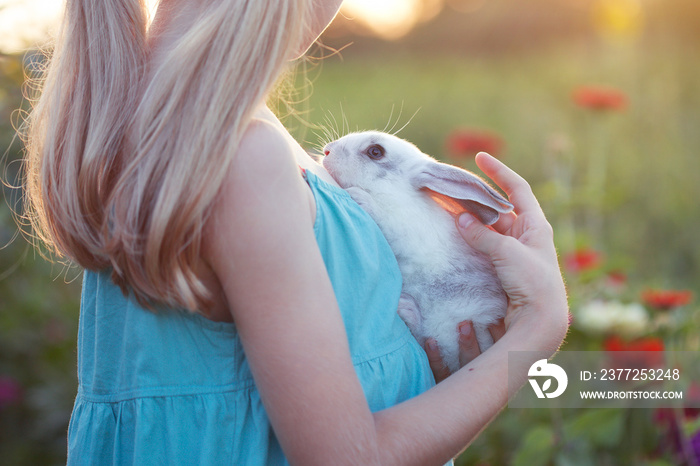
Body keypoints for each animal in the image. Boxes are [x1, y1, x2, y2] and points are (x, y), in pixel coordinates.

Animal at [322, 131, 516, 372]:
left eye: (375, 152)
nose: (327, 150)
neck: (396, 193)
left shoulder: (404, 229)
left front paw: (358, 196)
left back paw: (405, 307)